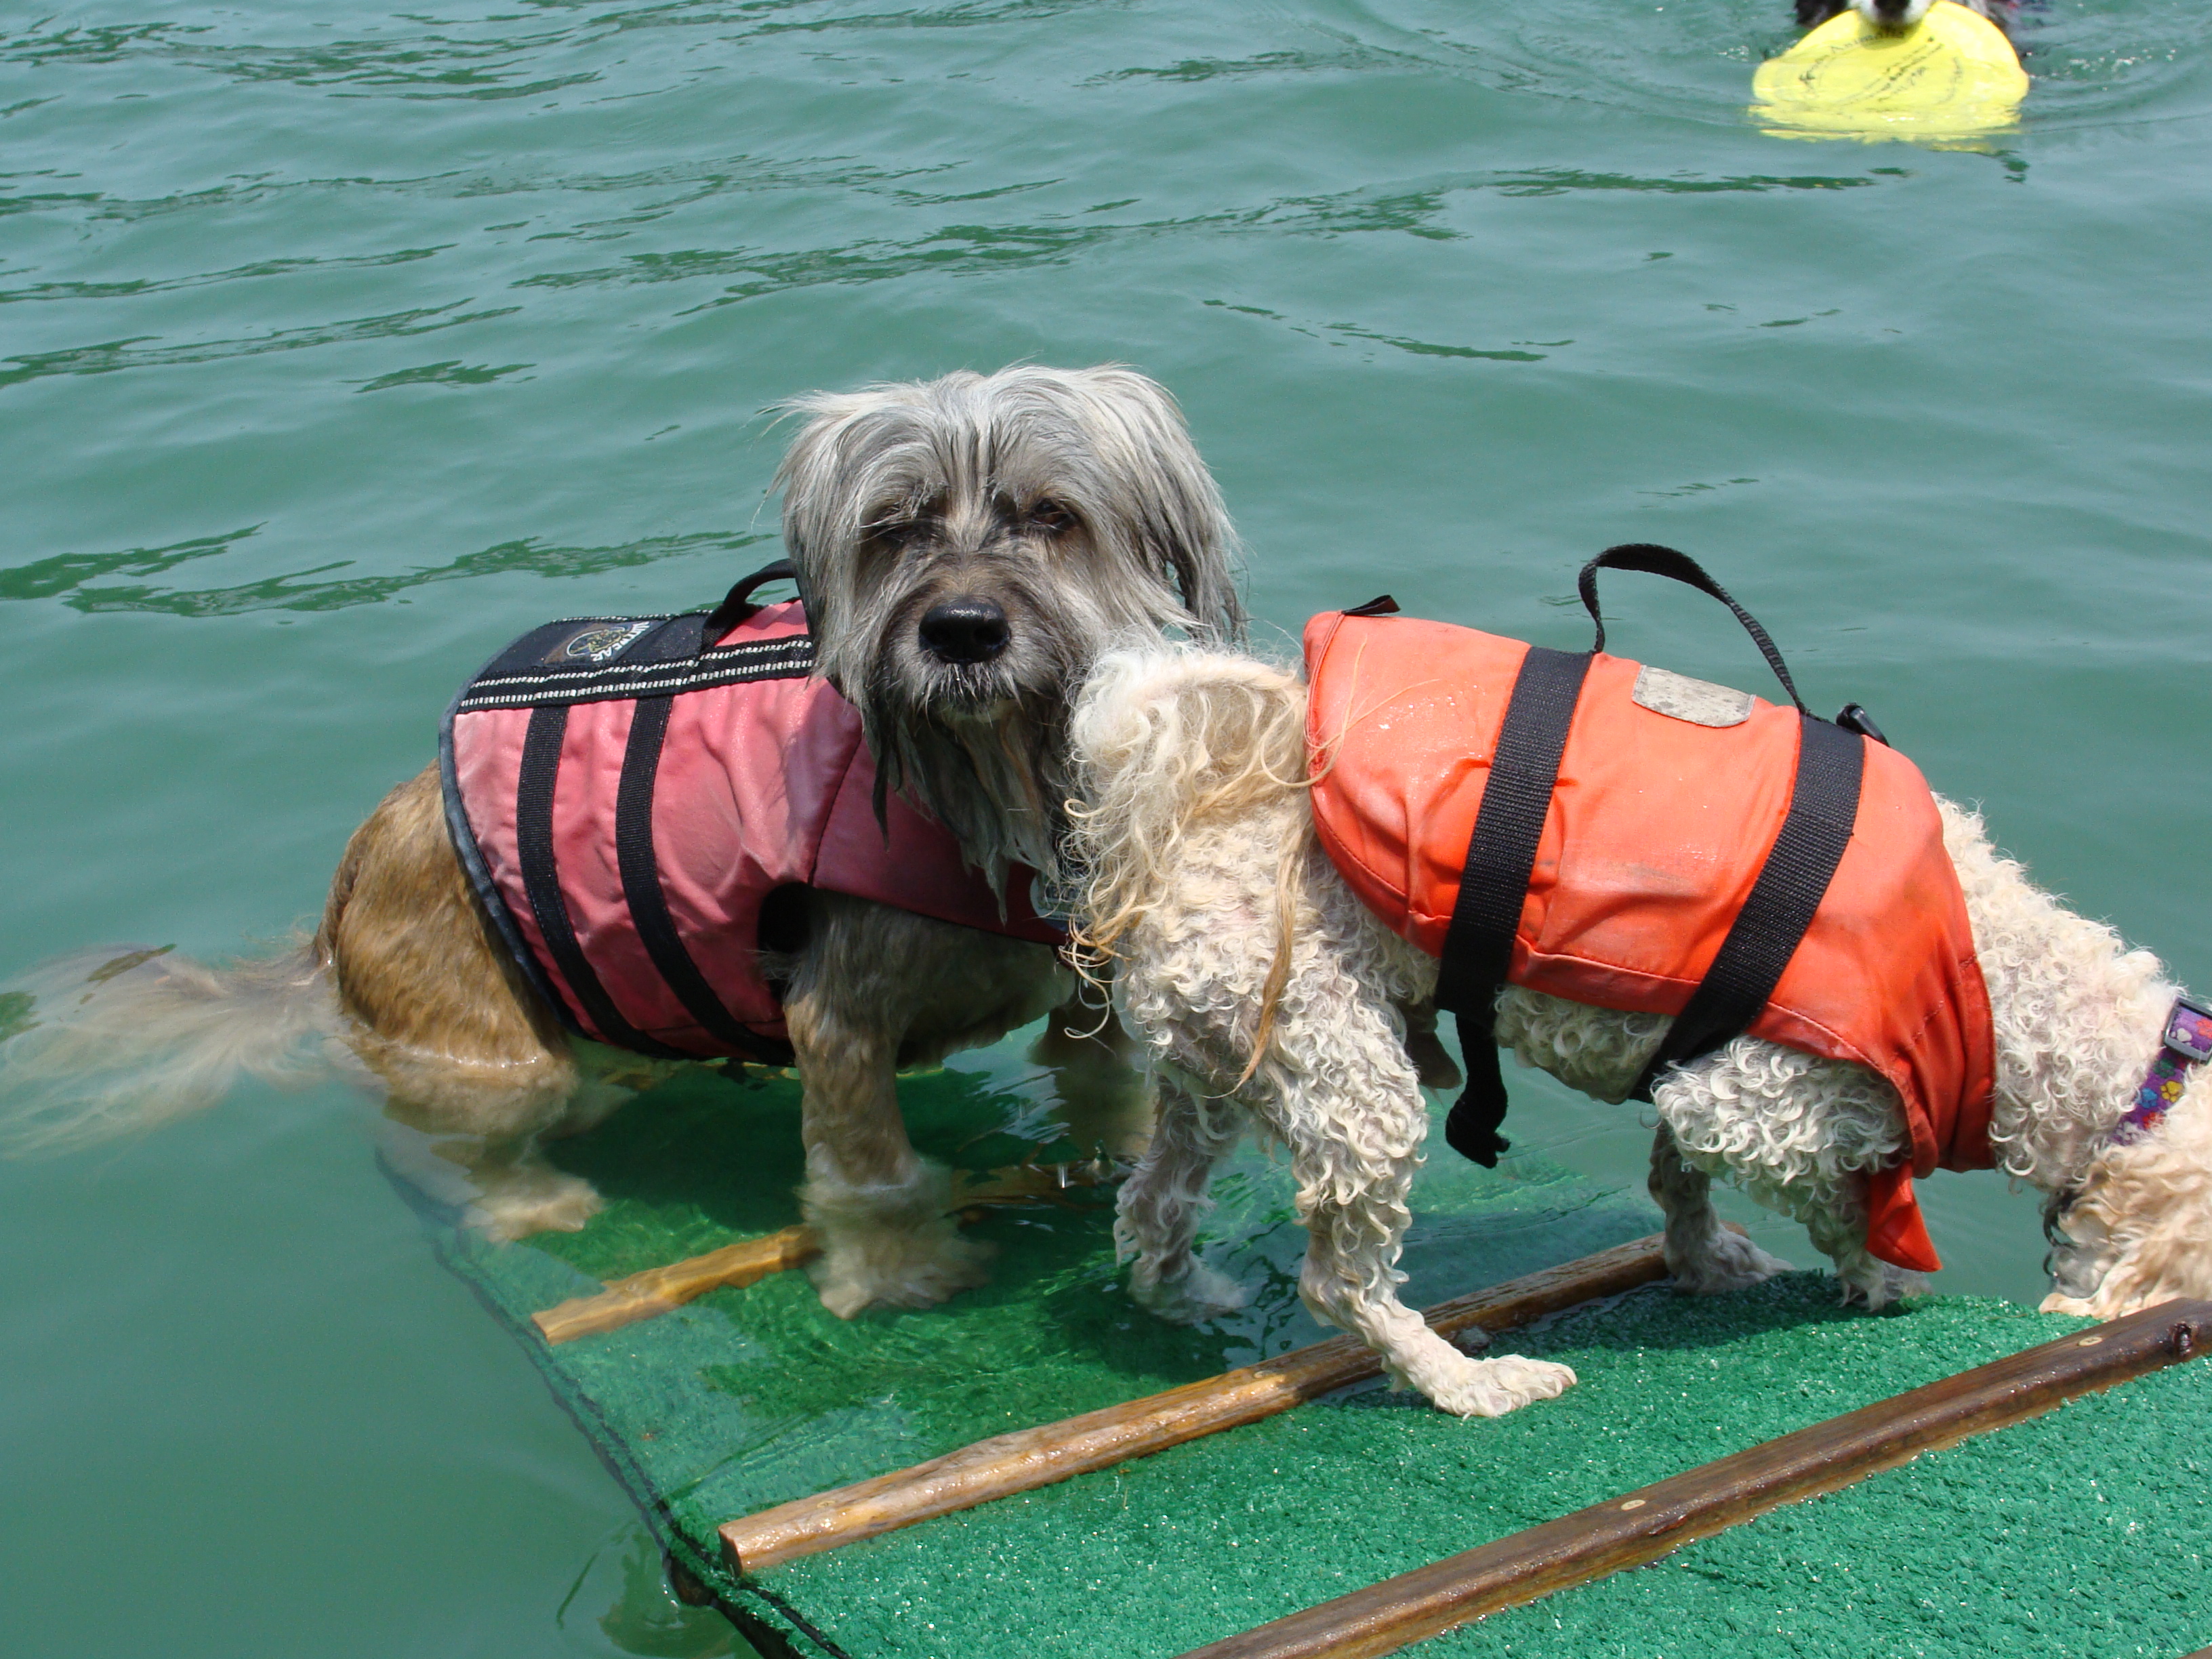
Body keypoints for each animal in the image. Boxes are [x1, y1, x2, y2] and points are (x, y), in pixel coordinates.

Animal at [0, 364, 1245, 1321]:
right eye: (892, 530)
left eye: (1053, 516)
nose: (962, 629)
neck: (987, 783)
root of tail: (340, 897)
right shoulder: (838, 1024)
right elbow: (874, 1180)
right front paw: (901, 1275)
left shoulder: (1082, 1003)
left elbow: (1104, 1093)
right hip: (494, 1059)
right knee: (451, 1145)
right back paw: (532, 1200)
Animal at [1064, 611, 2212, 1417]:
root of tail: (1184, 836)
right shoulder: (1773, 1103)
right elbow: (1846, 1202)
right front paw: (1878, 1275)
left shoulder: (1705, 1080)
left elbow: (1678, 1173)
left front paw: (1710, 1262)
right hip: (1346, 1069)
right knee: (1342, 1281)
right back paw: (1466, 1380)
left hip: (1221, 1063)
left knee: (1151, 1208)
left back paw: (1186, 1295)